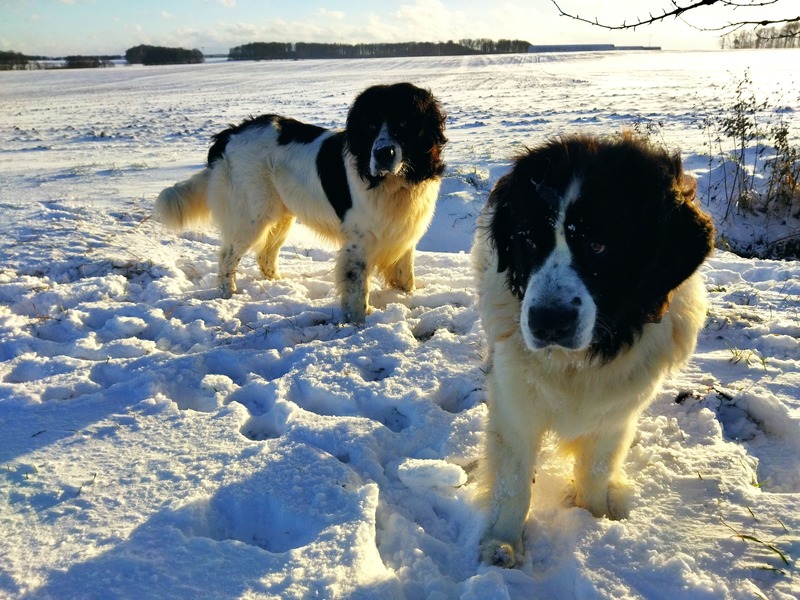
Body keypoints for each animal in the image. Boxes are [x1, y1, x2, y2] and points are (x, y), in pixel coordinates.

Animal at [154, 82, 446, 323]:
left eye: (404, 123)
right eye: (371, 126)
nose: (383, 153)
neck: (395, 183)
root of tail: (229, 134)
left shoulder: (403, 233)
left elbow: (405, 276)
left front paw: (405, 298)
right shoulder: (358, 241)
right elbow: (357, 288)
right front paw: (358, 323)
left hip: (281, 215)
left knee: (265, 255)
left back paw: (279, 286)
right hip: (251, 215)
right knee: (228, 256)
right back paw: (228, 295)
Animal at [472, 132, 715, 568]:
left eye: (599, 245)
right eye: (529, 239)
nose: (548, 322)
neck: (582, 359)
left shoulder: (616, 412)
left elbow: (596, 468)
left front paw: (593, 520)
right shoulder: (515, 400)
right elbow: (514, 478)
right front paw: (502, 542)